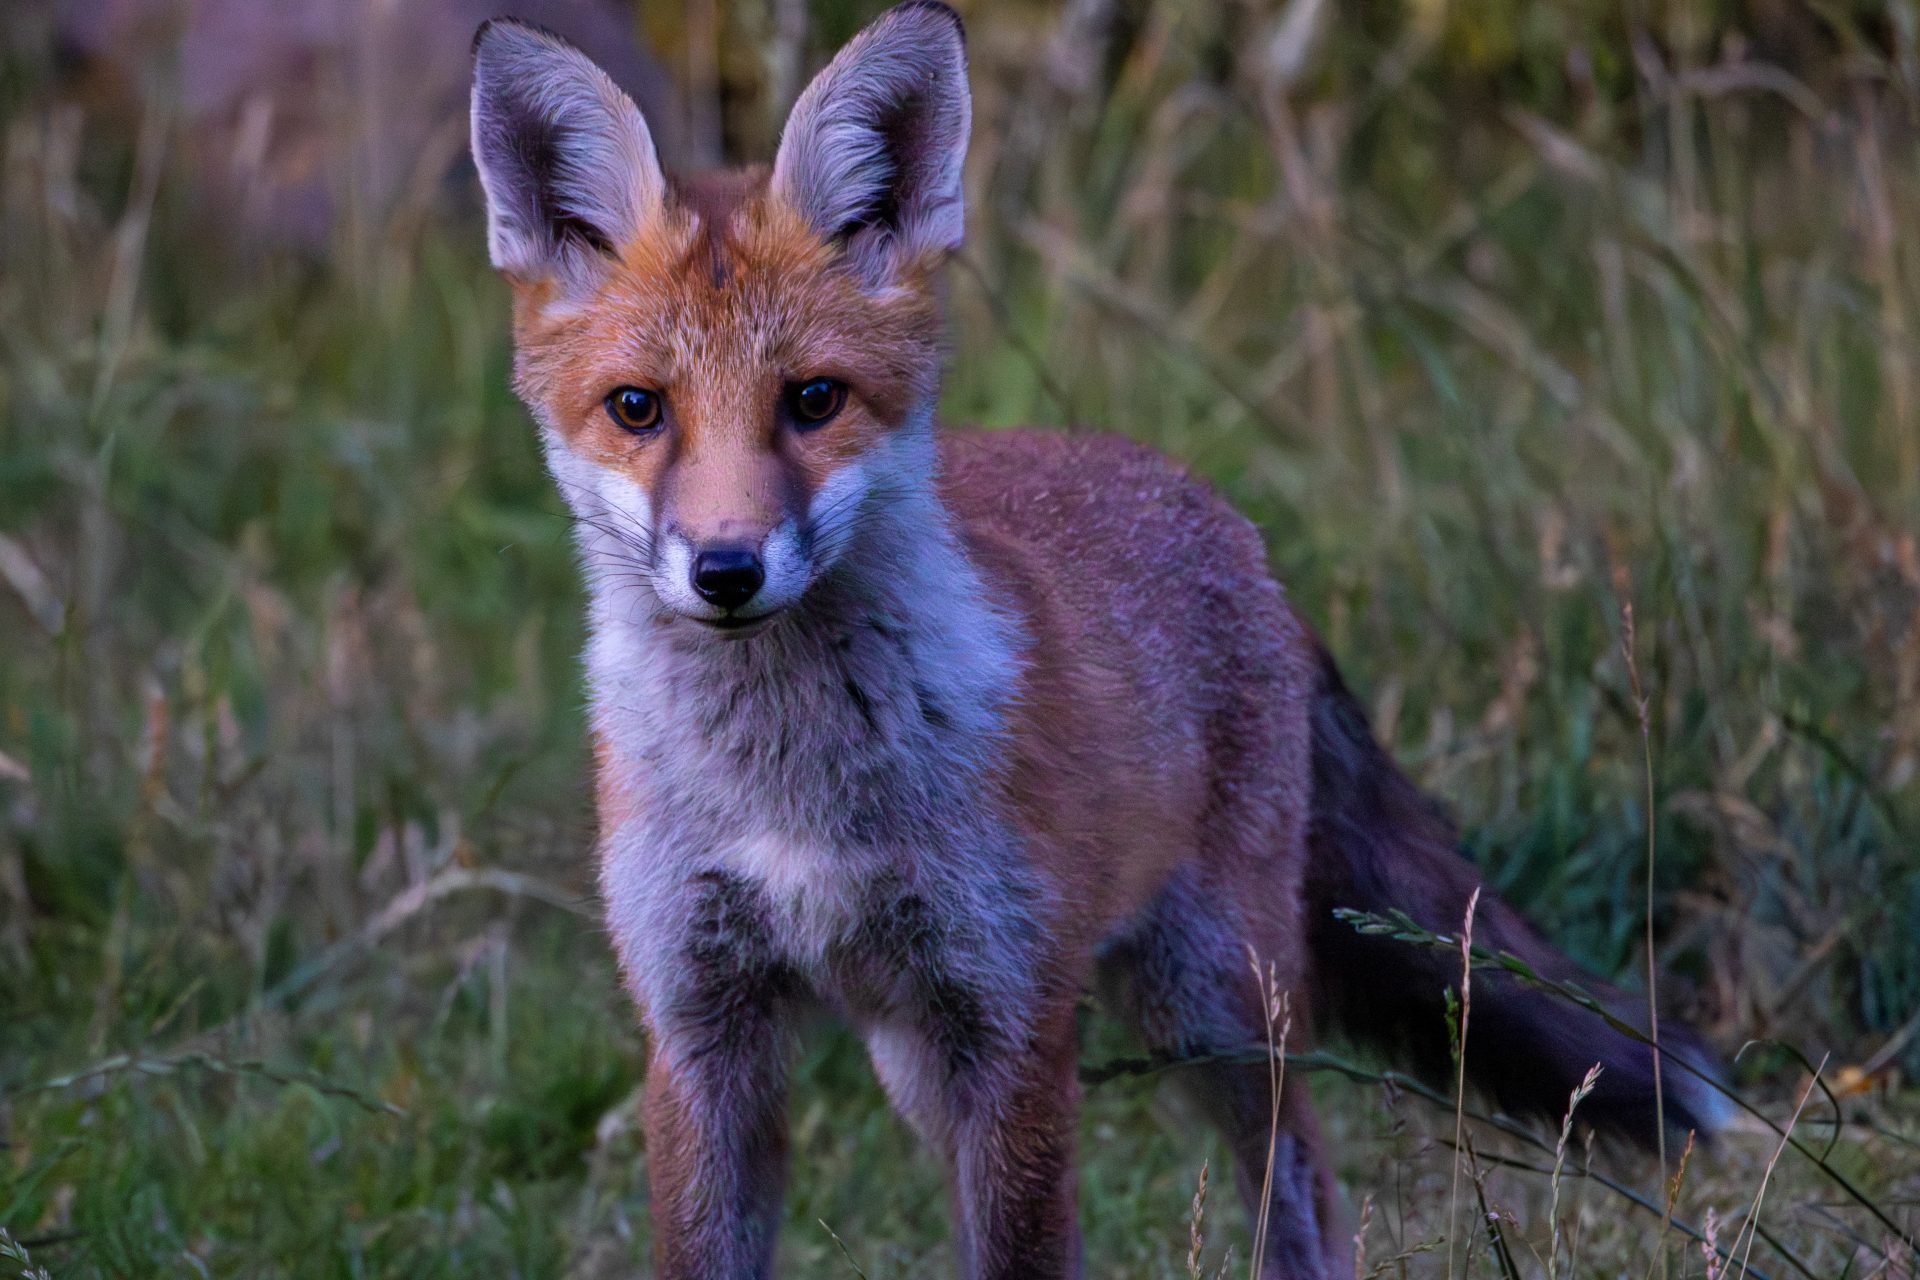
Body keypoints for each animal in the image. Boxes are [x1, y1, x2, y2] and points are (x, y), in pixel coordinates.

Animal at [469, 6, 1729, 1276]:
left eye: (814, 399)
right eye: (638, 408)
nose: (727, 570)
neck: (792, 791)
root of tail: (1216, 511)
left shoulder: (1013, 1022)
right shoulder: (700, 1027)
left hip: (1207, 1000)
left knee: (1306, 1186)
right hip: (929, 1052)